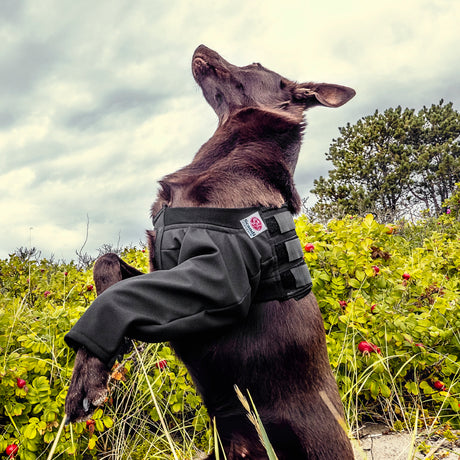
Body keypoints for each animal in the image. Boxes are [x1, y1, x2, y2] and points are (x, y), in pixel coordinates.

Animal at [64, 44, 356, 460]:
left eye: (255, 64)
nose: (201, 46)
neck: (229, 156)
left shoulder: (217, 281)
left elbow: (120, 298)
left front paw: (86, 381)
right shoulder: (163, 268)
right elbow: (107, 267)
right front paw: (111, 355)